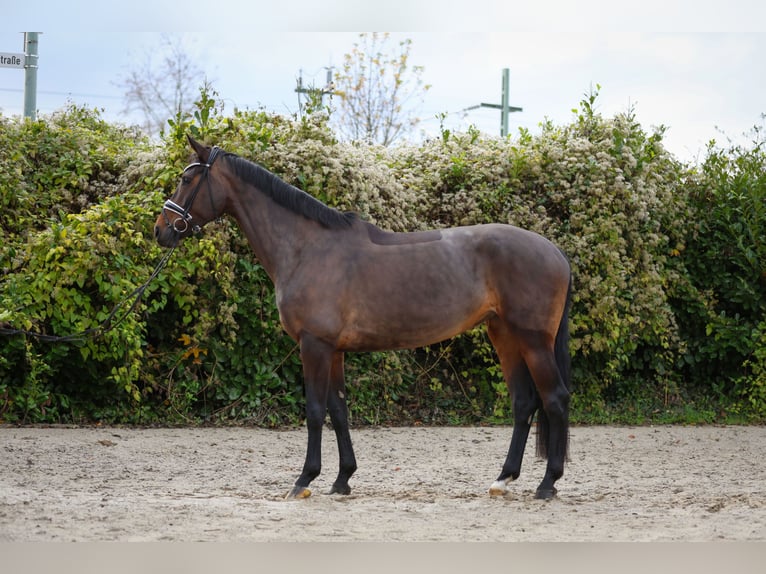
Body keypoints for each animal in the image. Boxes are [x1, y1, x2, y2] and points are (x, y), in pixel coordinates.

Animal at [156, 137, 572, 502]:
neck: (307, 248)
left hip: (533, 340)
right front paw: (342, 479)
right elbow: (339, 410)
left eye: (187, 180)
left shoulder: (314, 345)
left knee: (554, 398)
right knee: (523, 402)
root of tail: (555, 251)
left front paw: (304, 480)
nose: (161, 230)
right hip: (504, 335)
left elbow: (314, 411)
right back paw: (503, 479)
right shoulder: (333, 350)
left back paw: (548, 484)